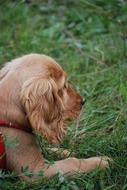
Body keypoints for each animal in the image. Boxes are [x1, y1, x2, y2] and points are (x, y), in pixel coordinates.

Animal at [0, 53, 109, 181]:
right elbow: (71, 162)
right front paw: (100, 162)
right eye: (64, 86)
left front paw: (65, 152)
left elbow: (46, 149)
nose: (83, 101)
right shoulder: (34, 170)